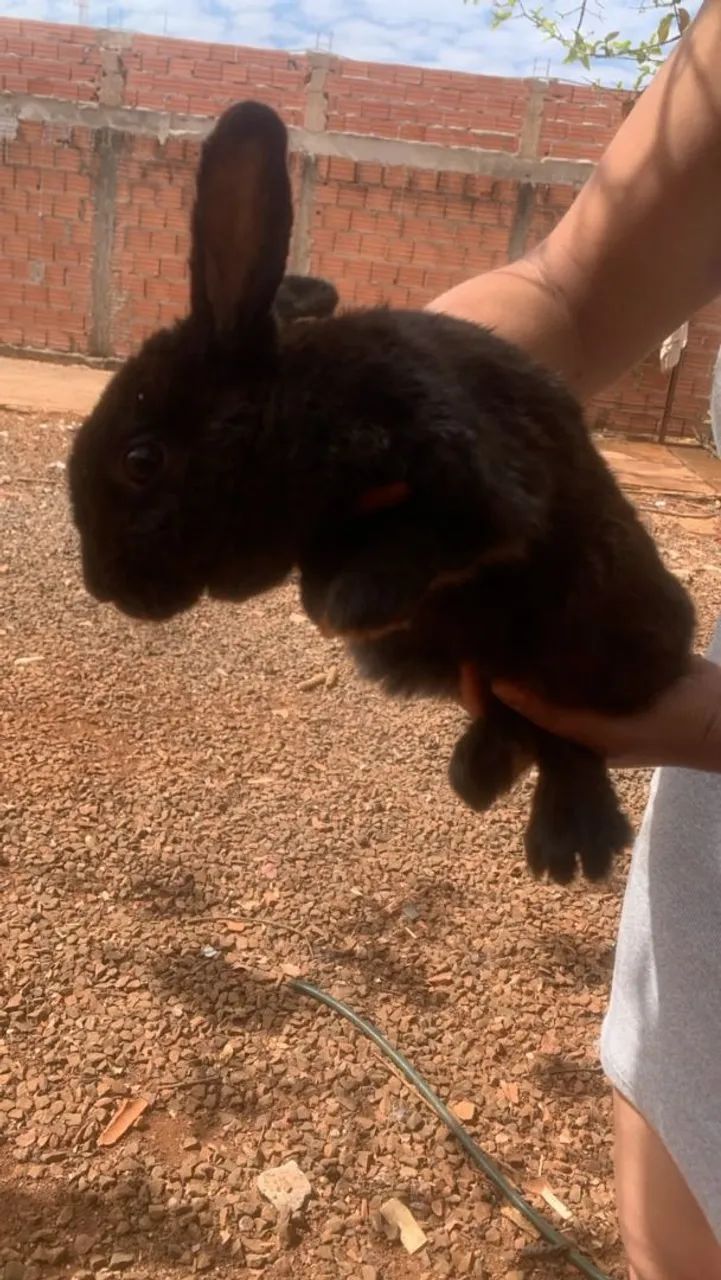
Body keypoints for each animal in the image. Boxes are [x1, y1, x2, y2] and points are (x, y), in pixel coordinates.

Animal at [68, 100, 695, 885]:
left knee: (568, 743)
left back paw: (567, 838)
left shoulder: (475, 481)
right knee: (527, 730)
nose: (100, 585)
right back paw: (482, 774)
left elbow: (441, 533)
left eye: (141, 460)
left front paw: (351, 602)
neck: (294, 407)